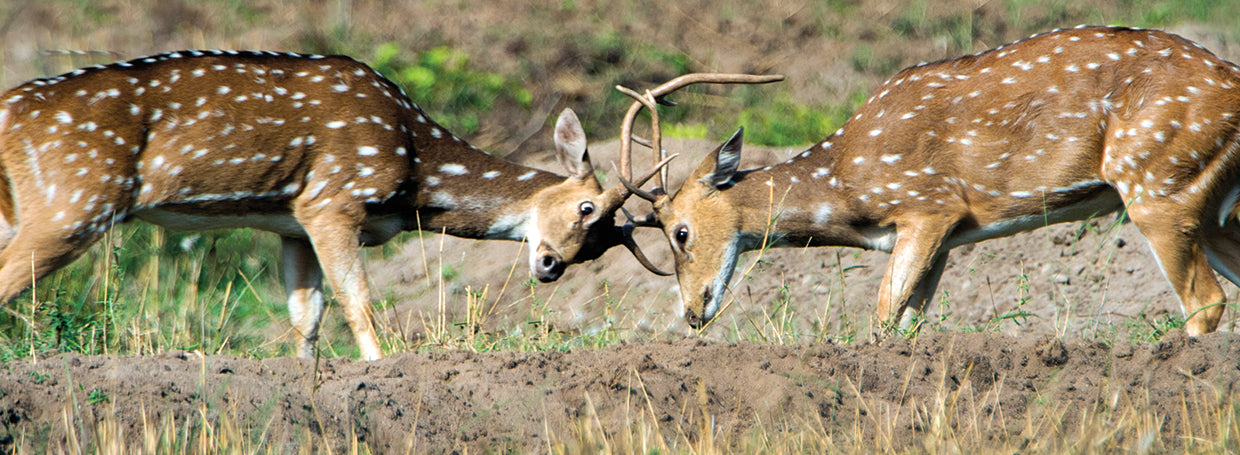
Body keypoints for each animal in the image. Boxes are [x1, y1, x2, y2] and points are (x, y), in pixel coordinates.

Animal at [0, 48, 781, 360]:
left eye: (595, 245)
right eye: (589, 211)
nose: (551, 265)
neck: (413, 170)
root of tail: (10, 110)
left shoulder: (289, 221)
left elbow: (306, 318)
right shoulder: (332, 197)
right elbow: (360, 302)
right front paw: (381, 369)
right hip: (72, 202)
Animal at [621, 25, 1240, 336]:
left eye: (679, 231)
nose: (692, 315)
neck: (847, 188)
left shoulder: (927, 206)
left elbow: (880, 319)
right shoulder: (941, 237)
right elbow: (906, 325)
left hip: (1158, 181)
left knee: (1205, 302)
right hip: (1206, 200)